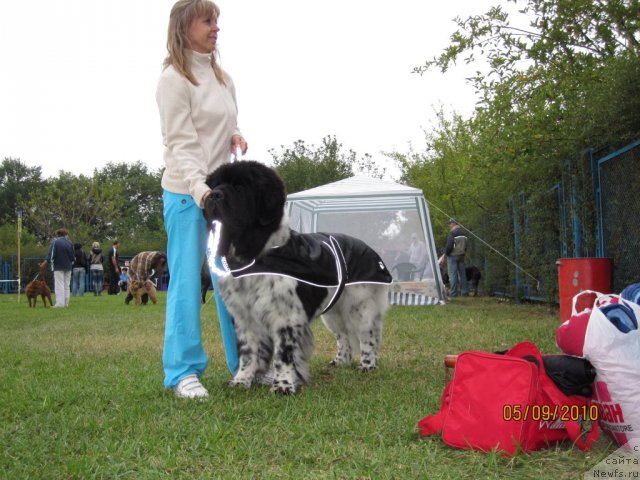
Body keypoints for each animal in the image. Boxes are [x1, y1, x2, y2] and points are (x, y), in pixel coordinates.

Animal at [205, 161, 392, 394]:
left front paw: (283, 385)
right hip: (333, 313)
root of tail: (368, 248)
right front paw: (241, 381)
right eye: (216, 184)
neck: (257, 255)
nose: (213, 195)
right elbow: (248, 353)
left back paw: (367, 364)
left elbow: (283, 354)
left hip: (361, 306)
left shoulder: (286, 317)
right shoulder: (244, 318)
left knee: (368, 335)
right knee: (343, 336)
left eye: (240, 187)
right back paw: (341, 361)